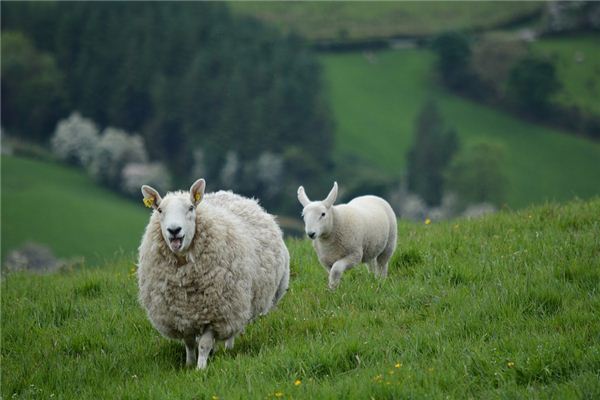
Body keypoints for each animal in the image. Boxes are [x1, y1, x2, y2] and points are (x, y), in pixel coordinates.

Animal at [137, 180, 290, 370]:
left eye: (190, 208)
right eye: (159, 210)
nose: (174, 230)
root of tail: (231, 194)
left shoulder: (216, 312)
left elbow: (204, 343)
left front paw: (200, 368)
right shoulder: (181, 316)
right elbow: (189, 343)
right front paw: (189, 364)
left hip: (237, 302)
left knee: (233, 328)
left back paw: (228, 349)